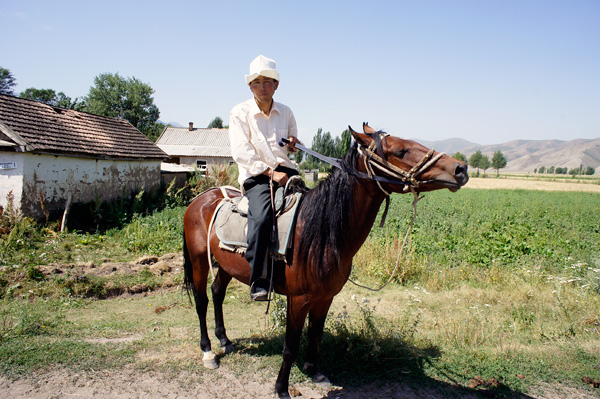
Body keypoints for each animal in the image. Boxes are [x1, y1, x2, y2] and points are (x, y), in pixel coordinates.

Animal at [183, 123, 468, 398]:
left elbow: (316, 334)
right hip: (199, 261)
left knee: (217, 292)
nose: (461, 168)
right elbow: (291, 345)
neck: (320, 230)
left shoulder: (325, 297)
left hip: (227, 265)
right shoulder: (298, 300)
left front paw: (314, 371)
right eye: (400, 151)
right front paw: (282, 388)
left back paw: (225, 340)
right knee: (202, 300)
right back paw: (208, 351)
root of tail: (202, 198)